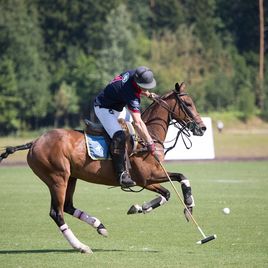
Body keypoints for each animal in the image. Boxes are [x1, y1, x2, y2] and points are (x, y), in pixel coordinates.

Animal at [0, 81, 205, 253]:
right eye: (188, 104)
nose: (202, 128)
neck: (146, 136)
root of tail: (34, 142)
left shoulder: (148, 178)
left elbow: (170, 189)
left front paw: (141, 207)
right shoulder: (146, 177)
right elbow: (179, 180)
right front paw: (188, 206)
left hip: (70, 177)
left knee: (67, 206)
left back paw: (99, 226)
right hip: (57, 178)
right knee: (56, 213)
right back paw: (81, 246)